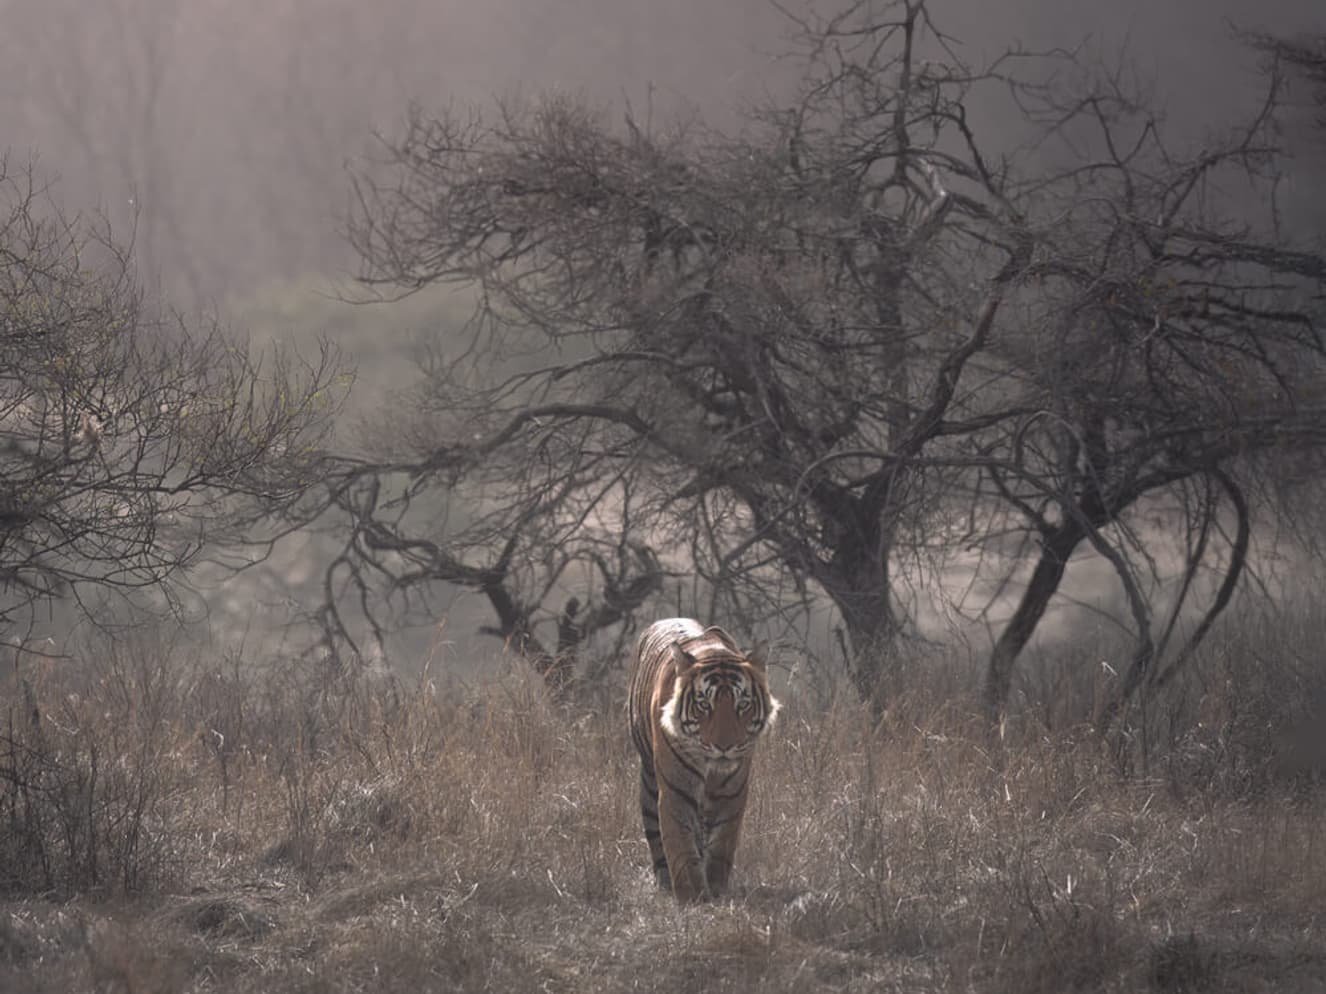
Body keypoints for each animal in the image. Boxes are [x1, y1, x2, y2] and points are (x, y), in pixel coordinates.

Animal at [628, 614, 779, 901]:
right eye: (704, 705)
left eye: (742, 704)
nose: (724, 746)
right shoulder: (676, 790)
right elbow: (681, 845)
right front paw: (692, 895)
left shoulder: (732, 793)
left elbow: (722, 844)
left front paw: (716, 890)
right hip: (649, 778)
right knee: (654, 830)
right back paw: (665, 881)